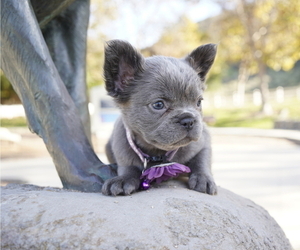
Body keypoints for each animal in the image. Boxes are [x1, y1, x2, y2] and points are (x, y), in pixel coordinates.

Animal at [102, 39, 217, 195]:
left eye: (199, 102)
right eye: (158, 104)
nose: (188, 120)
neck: (158, 153)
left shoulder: (203, 141)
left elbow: (202, 160)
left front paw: (203, 178)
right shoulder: (122, 149)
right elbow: (128, 167)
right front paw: (123, 179)